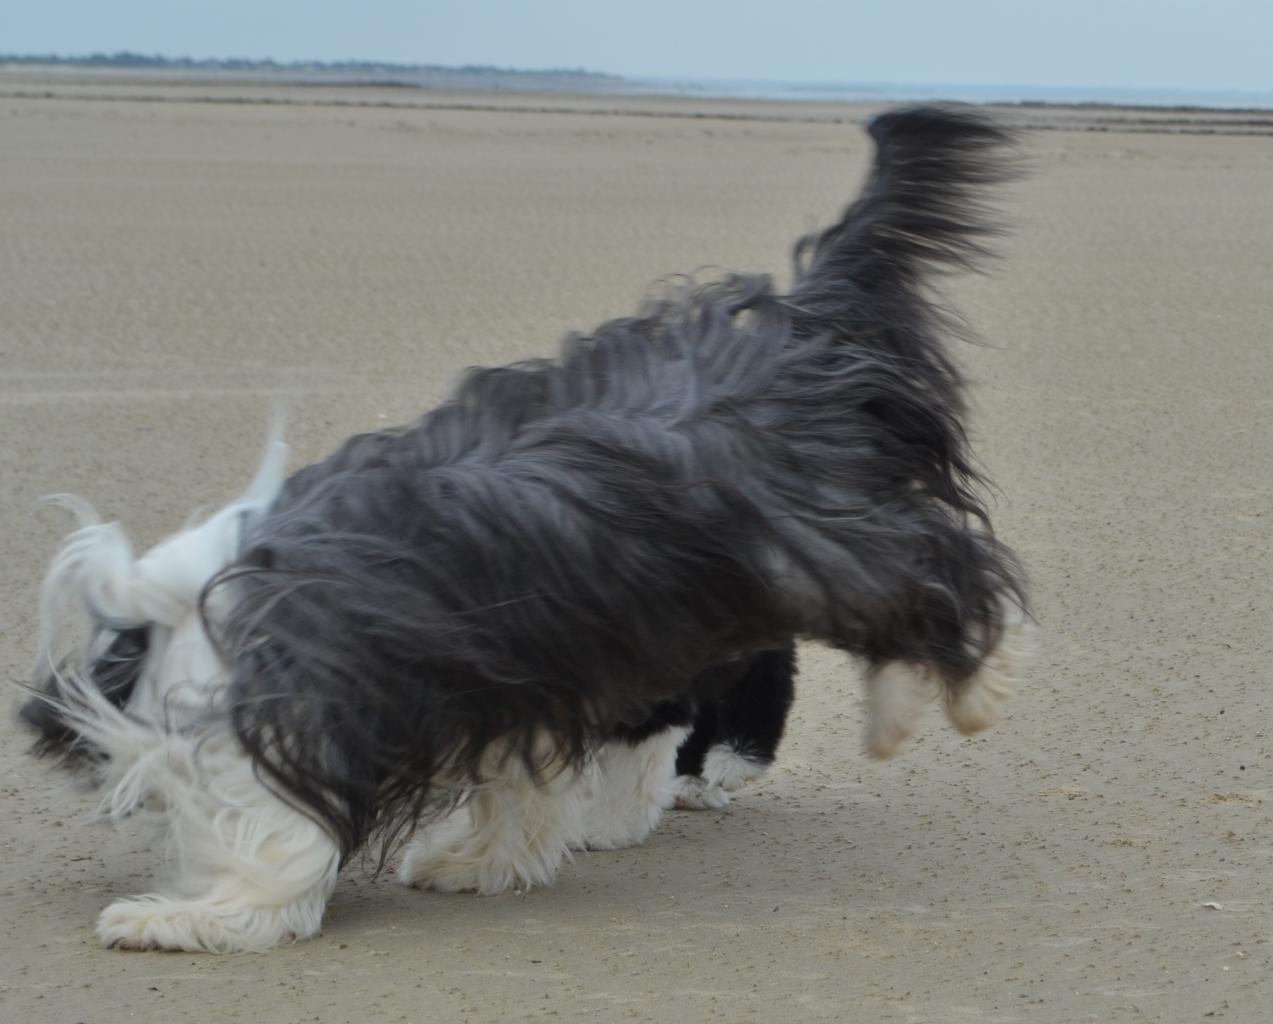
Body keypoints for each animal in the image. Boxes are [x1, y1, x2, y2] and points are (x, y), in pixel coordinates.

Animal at [22, 103, 1033, 952]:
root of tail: (791, 337)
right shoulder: (516, 678)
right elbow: (521, 789)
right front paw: (480, 860)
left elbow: (275, 839)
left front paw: (193, 914)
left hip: (811, 542)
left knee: (939, 575)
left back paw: (955, 695)